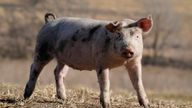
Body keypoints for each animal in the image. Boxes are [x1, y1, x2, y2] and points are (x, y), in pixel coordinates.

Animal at [24, 12, 153, 107]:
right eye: (118, 35)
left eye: (137, 36)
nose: (128, 49)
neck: (120, 61)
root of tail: (49, 22)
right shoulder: (101, 63)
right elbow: (105, 83)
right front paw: (106, 105)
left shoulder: (135, 61)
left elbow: (138, 83)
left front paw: (146, 105)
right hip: (42, 49)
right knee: (34, 68)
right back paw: (26, 96)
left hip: (63, 58)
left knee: (57, 72)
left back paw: (64, 98)